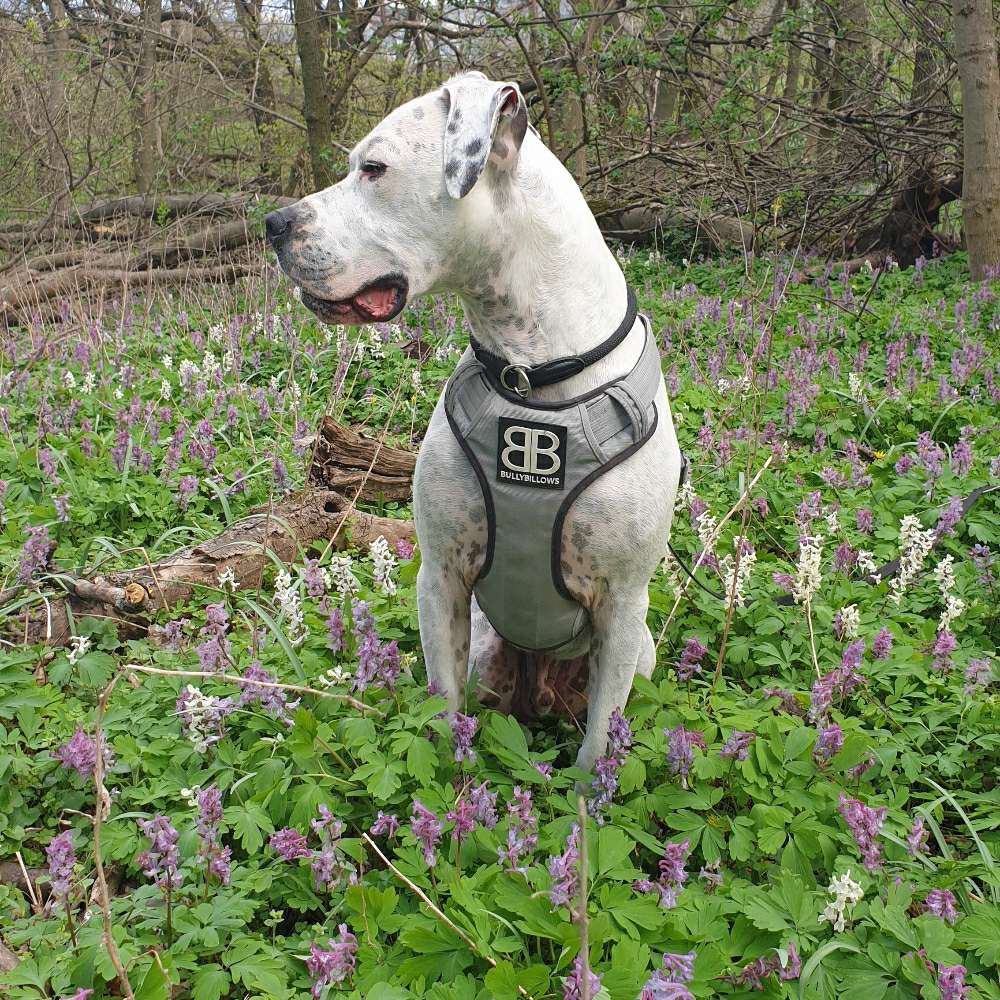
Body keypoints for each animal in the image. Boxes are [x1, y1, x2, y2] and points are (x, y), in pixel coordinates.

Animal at [270, 72, 684, 772]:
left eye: (374, 168)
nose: (273, 223)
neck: (529, 375)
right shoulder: (441, 578)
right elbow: (442, 710)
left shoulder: (623, 604)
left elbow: (597, 748)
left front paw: (588, 798)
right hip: (492, 651)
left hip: (643, 650)